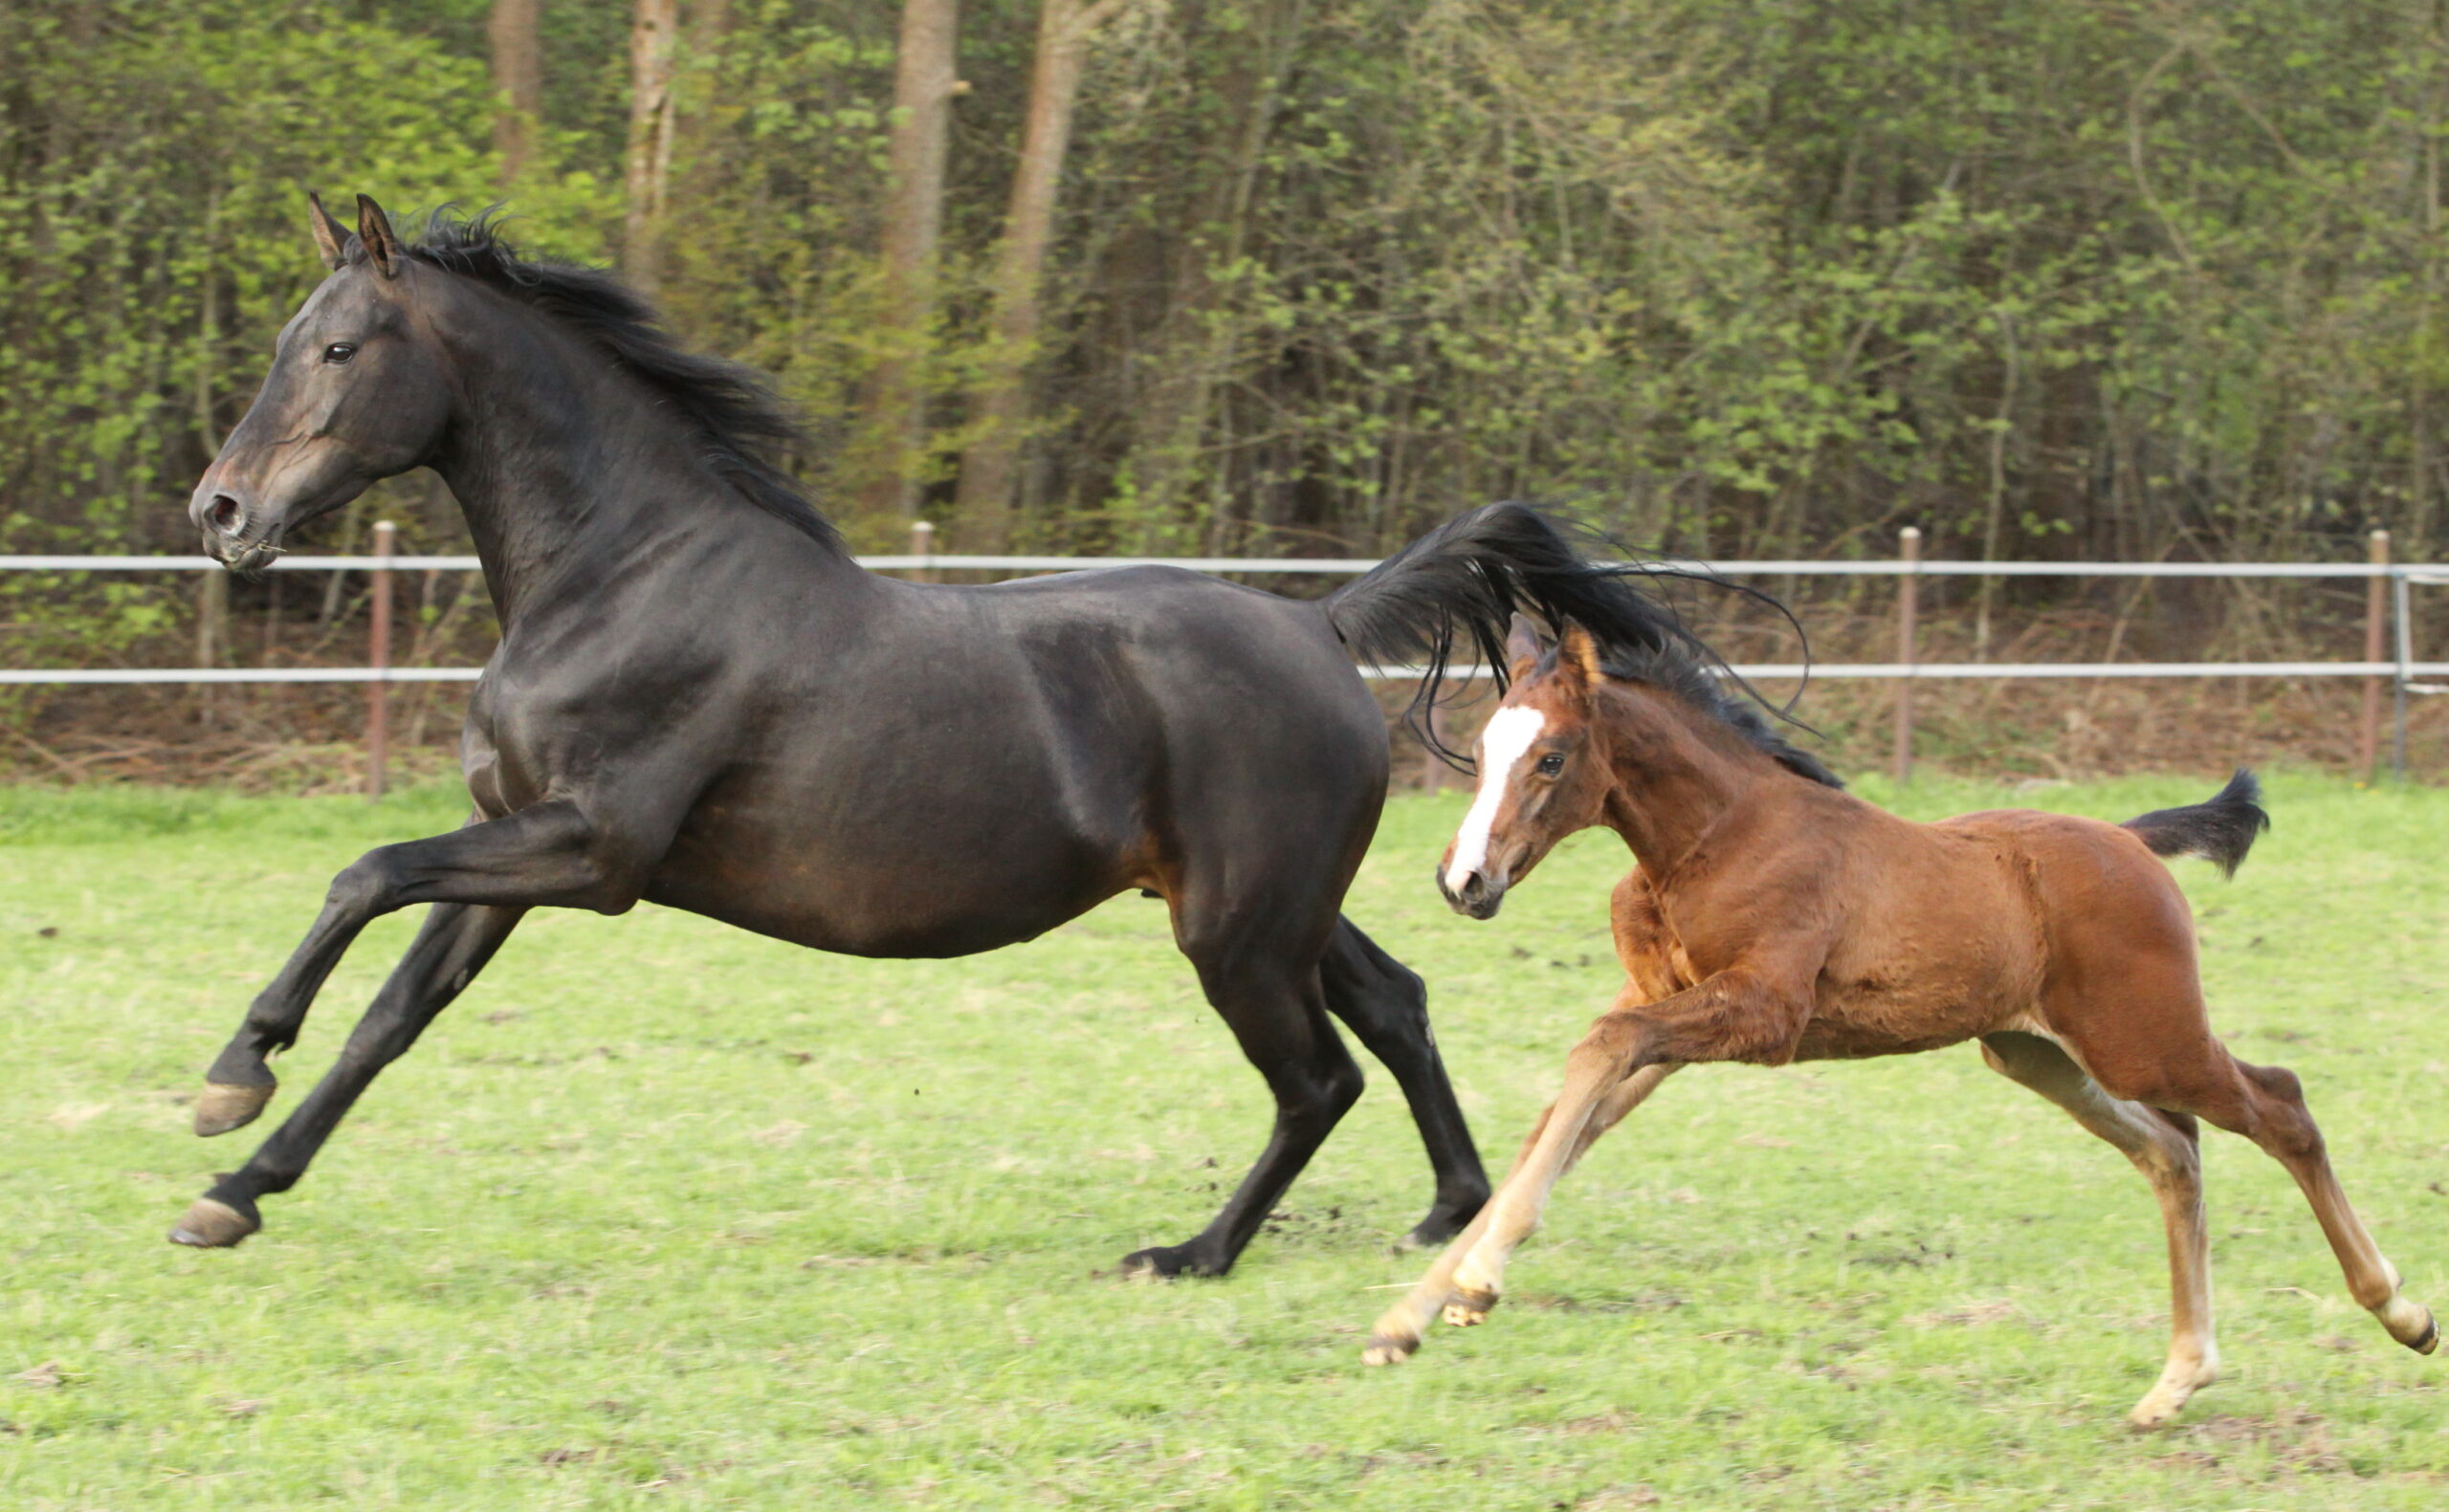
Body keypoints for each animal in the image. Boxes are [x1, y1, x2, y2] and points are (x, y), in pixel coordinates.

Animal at [168, 193, 1679, 1279]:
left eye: (339, 349)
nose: (221, 513)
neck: (626, 572)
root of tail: (1318, 628)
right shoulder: (508, 849)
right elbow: (391, 1015)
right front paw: (237, 1189)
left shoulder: (592, 852)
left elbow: (359, 873)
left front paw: (230, 1080)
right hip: (1265, 907)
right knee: (1397, 1007)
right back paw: (1451, 1209)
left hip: (1238, 932)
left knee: (1316, 1079)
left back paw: (1190, 1254)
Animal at [1362, 614, 2438, 1426]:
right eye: (1481, 750)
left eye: (1549, 757)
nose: (1464, 880)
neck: (1716, 838)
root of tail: (2130, 842)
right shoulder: (1666, 1007)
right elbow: (1567, 1115)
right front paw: (1409, 1318)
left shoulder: (1761, 1014)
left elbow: (1592, 1059)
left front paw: (1476, 1282)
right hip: (2036, 1053)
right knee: (2173, 1154)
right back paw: (2175, 1381)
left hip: (2146, 1040)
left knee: (2280, 1106)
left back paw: (2401, 1312)